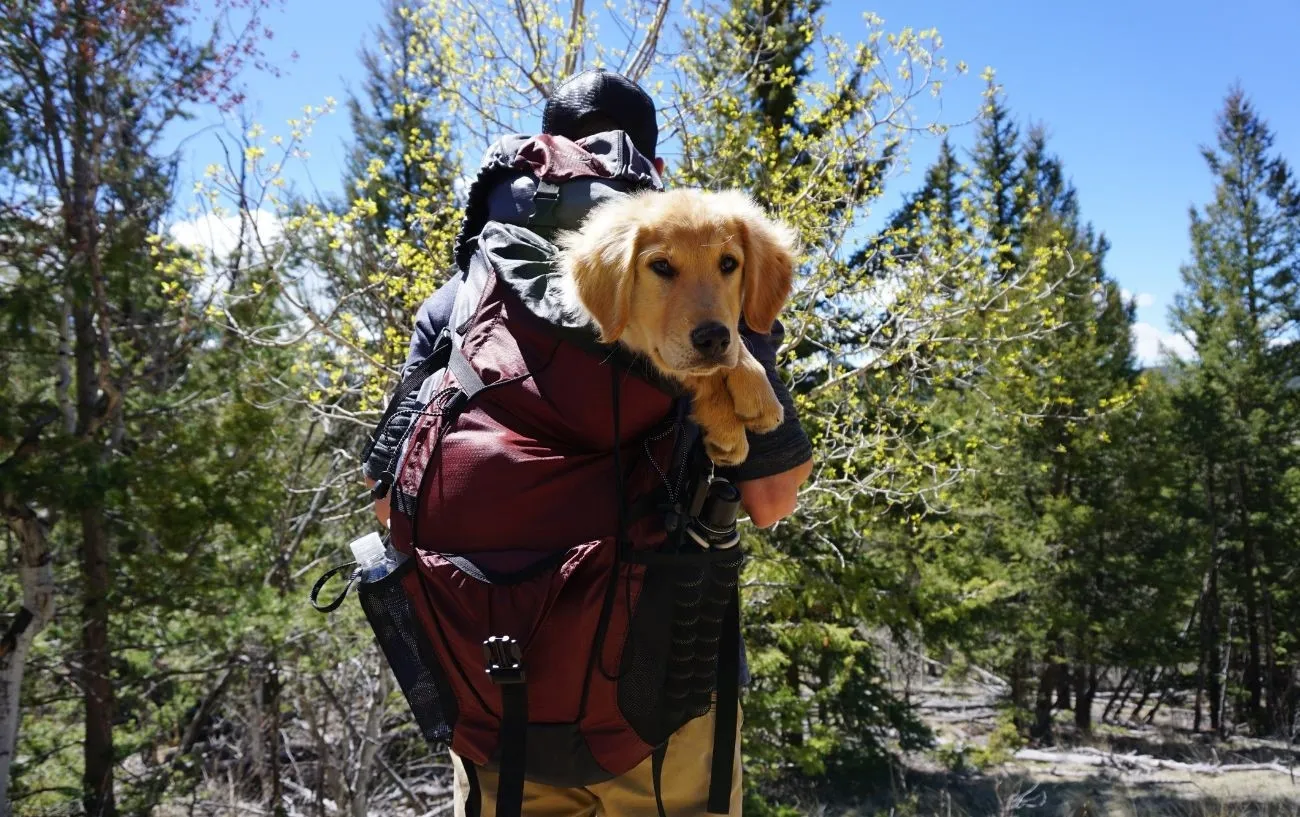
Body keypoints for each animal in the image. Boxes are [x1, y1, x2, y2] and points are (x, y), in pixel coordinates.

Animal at [553, 187, 795, 465]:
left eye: (728, 263)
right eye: (661, 266)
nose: (713, 338)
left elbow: (732, 346)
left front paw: (755, 387)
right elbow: (689, 371)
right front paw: (727, 425)